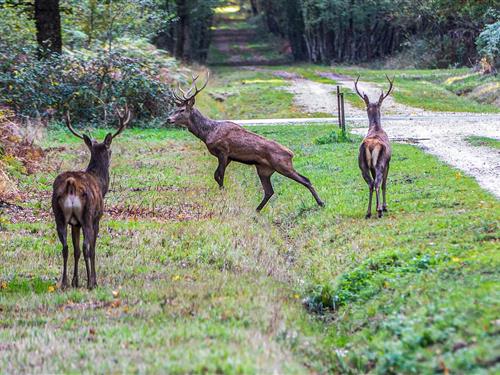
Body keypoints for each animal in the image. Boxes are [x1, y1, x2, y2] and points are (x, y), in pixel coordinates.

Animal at [51, 107, 130, 290]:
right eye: (110, 151)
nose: (111, 153)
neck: (101, 185)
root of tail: (71, 183)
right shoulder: (97, 218)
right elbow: (92, 249)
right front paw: (91, 279)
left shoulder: (75, 224)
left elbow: (76, 250)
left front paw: (75, 281)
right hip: (87, 214)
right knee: (87, 247)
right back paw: (90, 283)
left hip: (59, 215)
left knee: (65, 247)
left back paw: (64, 283)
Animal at [168, 73, 324, 212]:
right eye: (175, 109)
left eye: (182, 110)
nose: (169, 119)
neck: (207, 133)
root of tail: (291, 154)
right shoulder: (229, 157)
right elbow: (216, 175)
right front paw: (222, 192)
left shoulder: (223, 151)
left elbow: (219, 175)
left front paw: (223, 194)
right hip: (264, 169)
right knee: (269, 191)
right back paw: (257, 210)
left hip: (282, 165)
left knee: (305, 179)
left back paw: (321, 203)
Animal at [356, 75, 394, 219]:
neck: (376, 128)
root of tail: (371, 146)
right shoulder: (388, 162)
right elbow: (384, 184)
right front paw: (384, 206)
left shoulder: (371, 166)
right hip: (380, 163)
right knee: (377, 182)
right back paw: (379, 211)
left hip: (362, 164)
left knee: (371, 183)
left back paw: (368, 212)